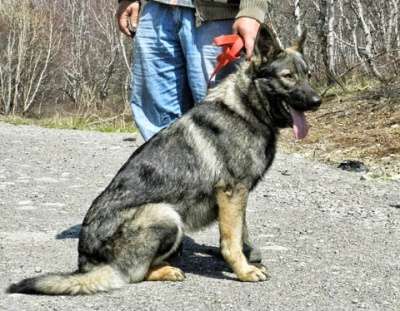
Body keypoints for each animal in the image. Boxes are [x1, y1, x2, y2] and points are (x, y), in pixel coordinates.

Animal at [7, 25, 322, 296]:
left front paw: (247, 261)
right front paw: (243, 271)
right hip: (165, 214)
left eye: (308, 74)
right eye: (287, 76)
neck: (245, 109)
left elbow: (240, 233)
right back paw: (166, 270)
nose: (318, 101)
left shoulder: (238, 197)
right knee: (132, 274)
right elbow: (231, 241)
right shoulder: (232, 193)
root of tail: (85, 262)